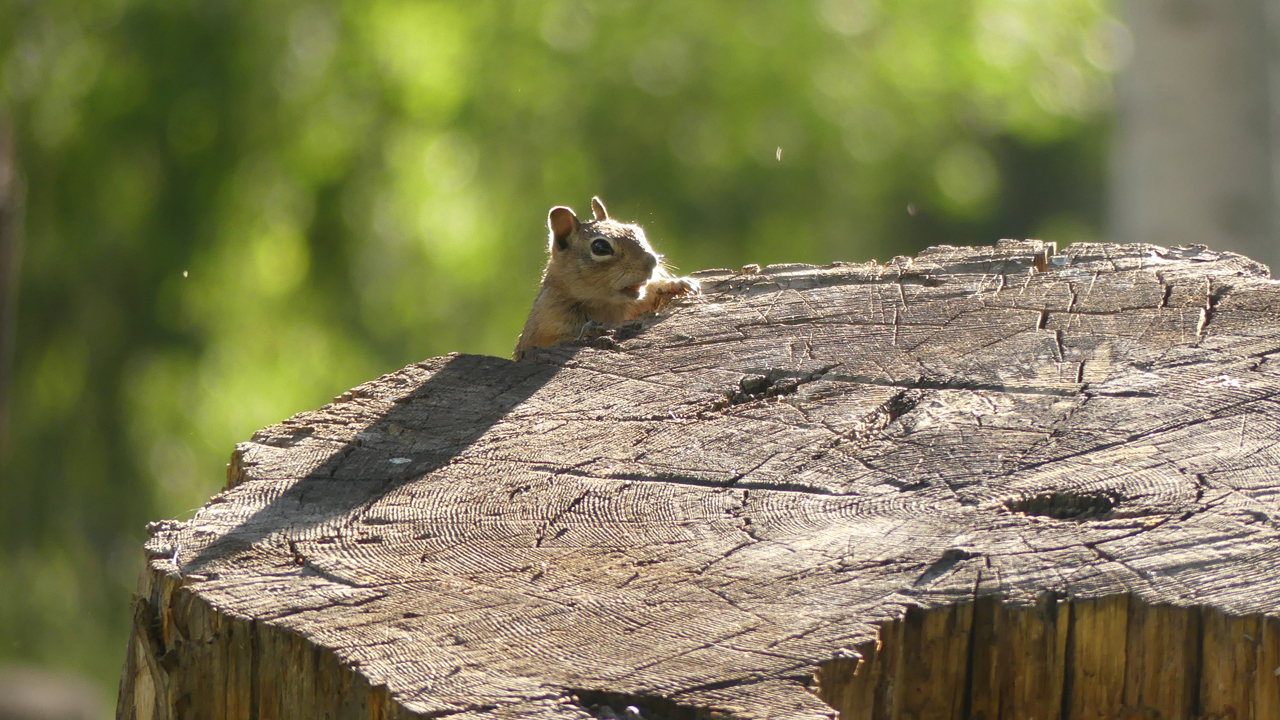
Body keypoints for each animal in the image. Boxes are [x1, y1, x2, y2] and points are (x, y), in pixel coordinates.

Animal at [514, 196, 701, 356]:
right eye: (600, 247)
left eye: (638, 231)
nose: (652, 261)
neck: (609, 305)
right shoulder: (547, 325)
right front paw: (590, 329)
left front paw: (675, 283)